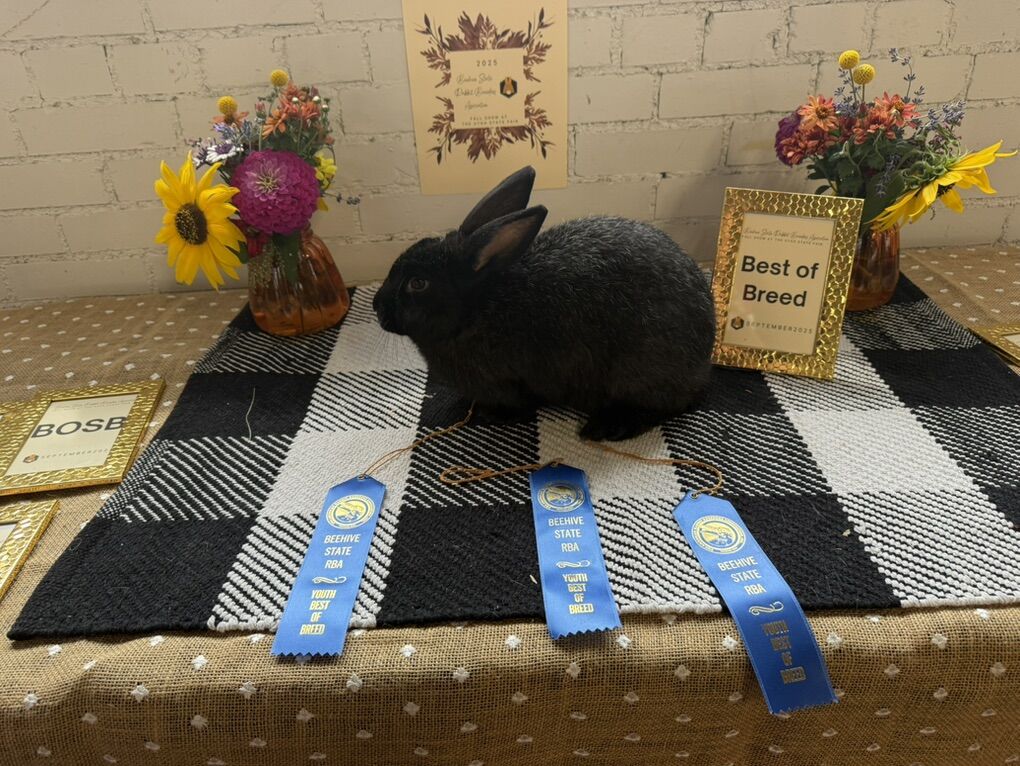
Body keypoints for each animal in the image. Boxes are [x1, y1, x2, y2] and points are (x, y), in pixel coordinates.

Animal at [373, 166, 716, 441]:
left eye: (418, 283)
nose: (377, 306)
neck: (474, 311)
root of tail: (704, 359)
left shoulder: (506, 382)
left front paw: (489, 414)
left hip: (641, 371)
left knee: (665, 405)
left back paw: (606, 427)